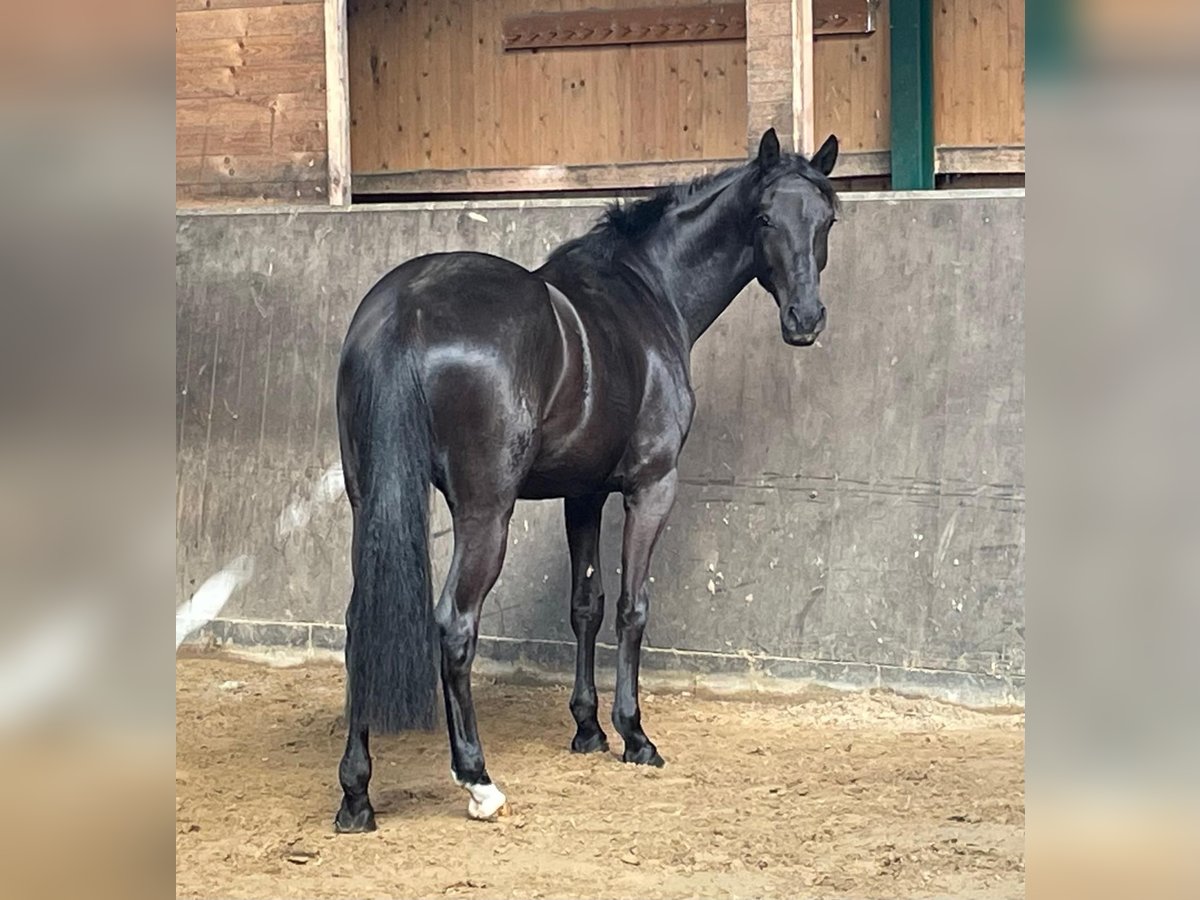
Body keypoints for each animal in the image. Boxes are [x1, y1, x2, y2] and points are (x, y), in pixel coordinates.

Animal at [333, 128, 840, 830]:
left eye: (826, 219)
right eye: (765, 218)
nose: (805, 319)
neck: (648, 293)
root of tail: (405, 308)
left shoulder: (583, 494)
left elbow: (586, 605)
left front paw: (587, 728)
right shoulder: (650, 487)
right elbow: (631, 607)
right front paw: (633, 733)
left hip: (368, 502)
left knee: (360, 625)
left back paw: (356, 792)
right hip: (485, 513)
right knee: (455, 626)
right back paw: (477, 779)